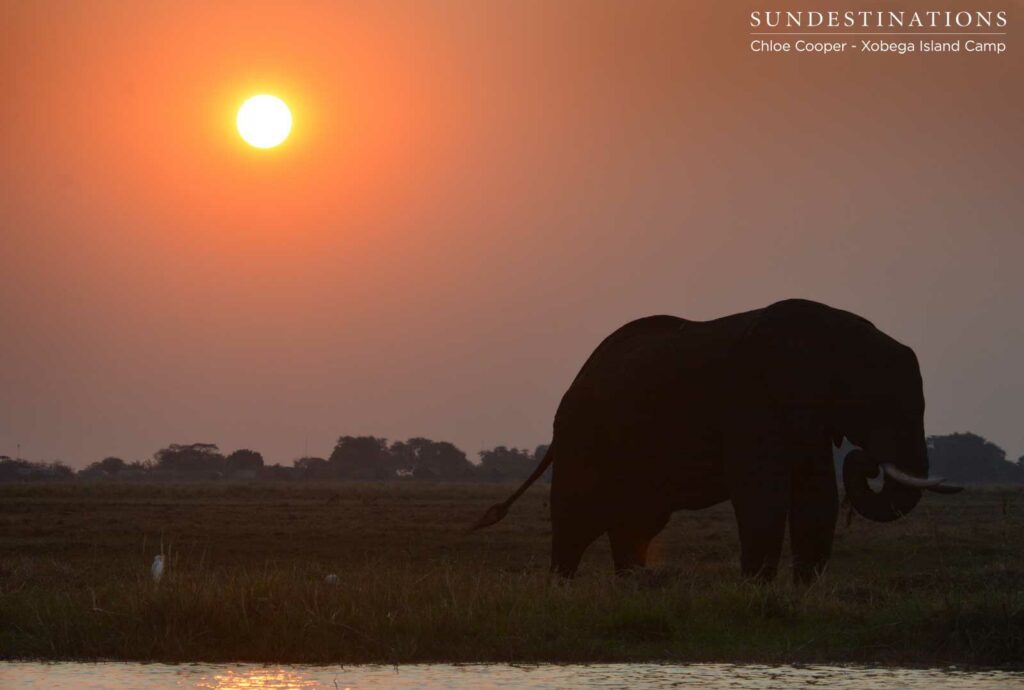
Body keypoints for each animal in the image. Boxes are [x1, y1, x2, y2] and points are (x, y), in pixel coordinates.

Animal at [472, 298, 962, 584]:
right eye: (882, 404)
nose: (869, 460)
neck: (836, 331)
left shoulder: (804, 414)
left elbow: (816, 492)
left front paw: (805, 591)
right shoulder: (751, 400)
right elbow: (762, 492)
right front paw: (758, 590)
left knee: (635, 520)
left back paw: (631, 584)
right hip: (582, 434)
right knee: (579, 513)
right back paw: (566, 585)